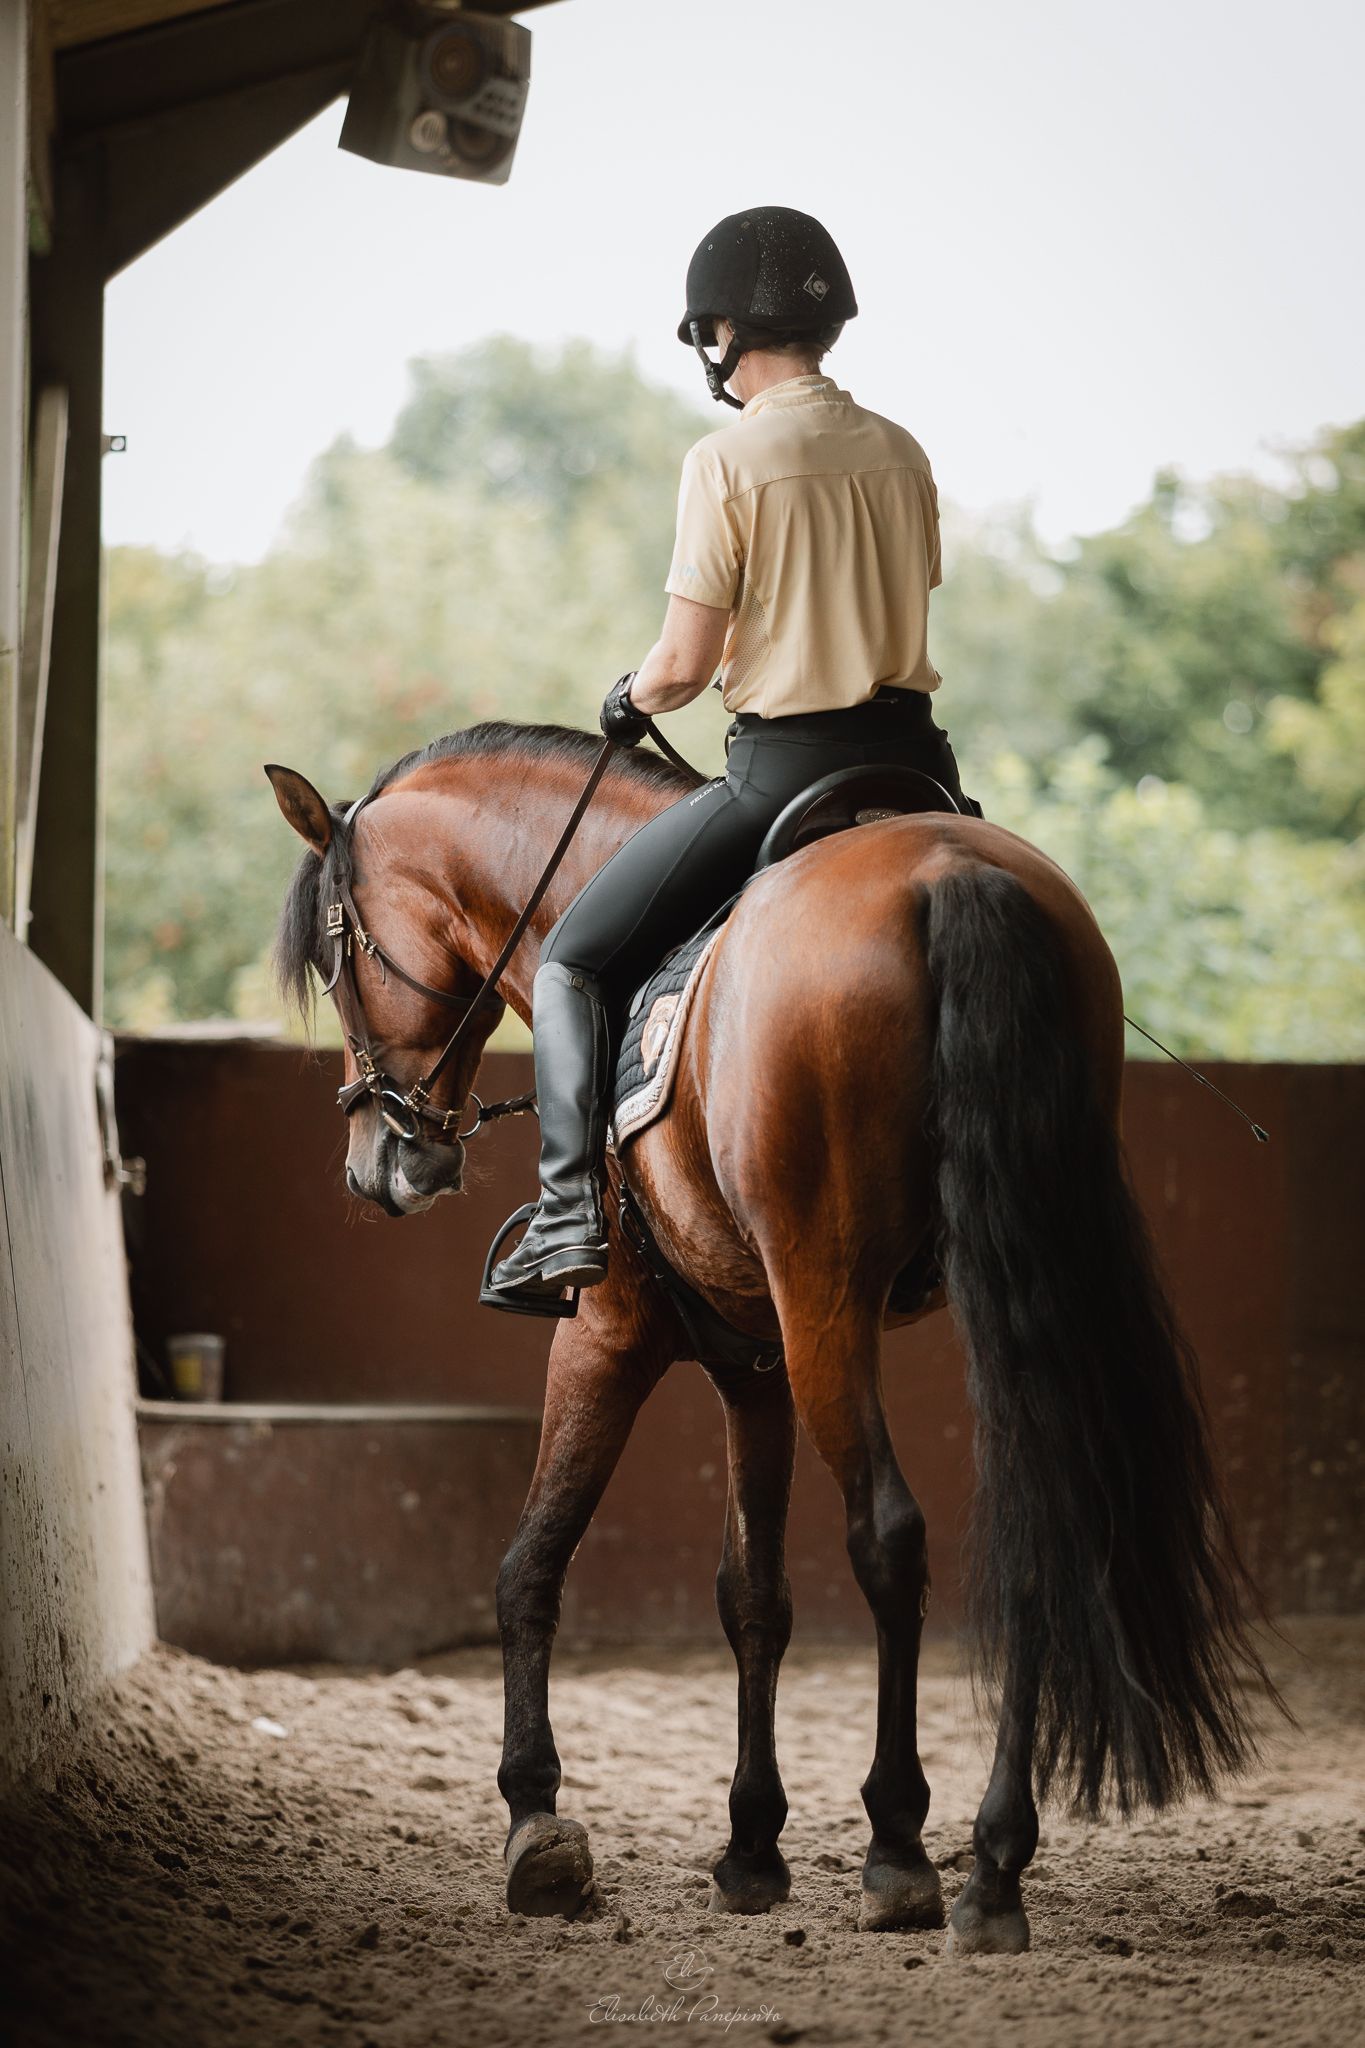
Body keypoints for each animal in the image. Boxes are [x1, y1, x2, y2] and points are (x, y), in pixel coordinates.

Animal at [268, 719, 1274, 1953]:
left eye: (336, 961)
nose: (384, 1164)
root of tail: (953, 876)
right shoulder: (751, 1364)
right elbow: (752, 1595)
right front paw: (751, 1844)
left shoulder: (610, 1333)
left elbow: (530, 1560)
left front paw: (536, 1822)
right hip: (998, 1287)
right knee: (1037, 1525)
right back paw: (992, 1866)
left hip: (826, 1300)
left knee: (888, 1533)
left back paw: (901, 1849)